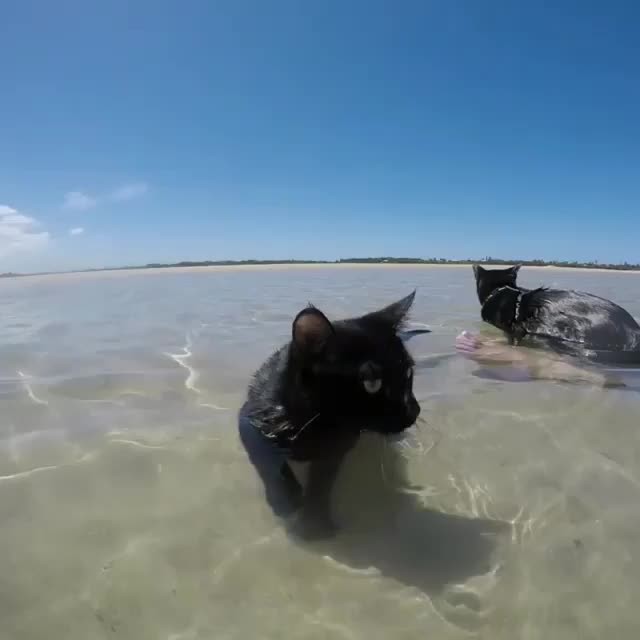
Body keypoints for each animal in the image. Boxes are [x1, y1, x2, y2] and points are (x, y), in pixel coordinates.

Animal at [238, 291, 427, 540]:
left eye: (408, 372)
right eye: (371, 382)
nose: (414, 409)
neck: (317, 422)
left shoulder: (337, 448)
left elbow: (322, 482)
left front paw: (315, 522)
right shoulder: (250, 421)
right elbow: (267, 460)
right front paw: (286, 499)